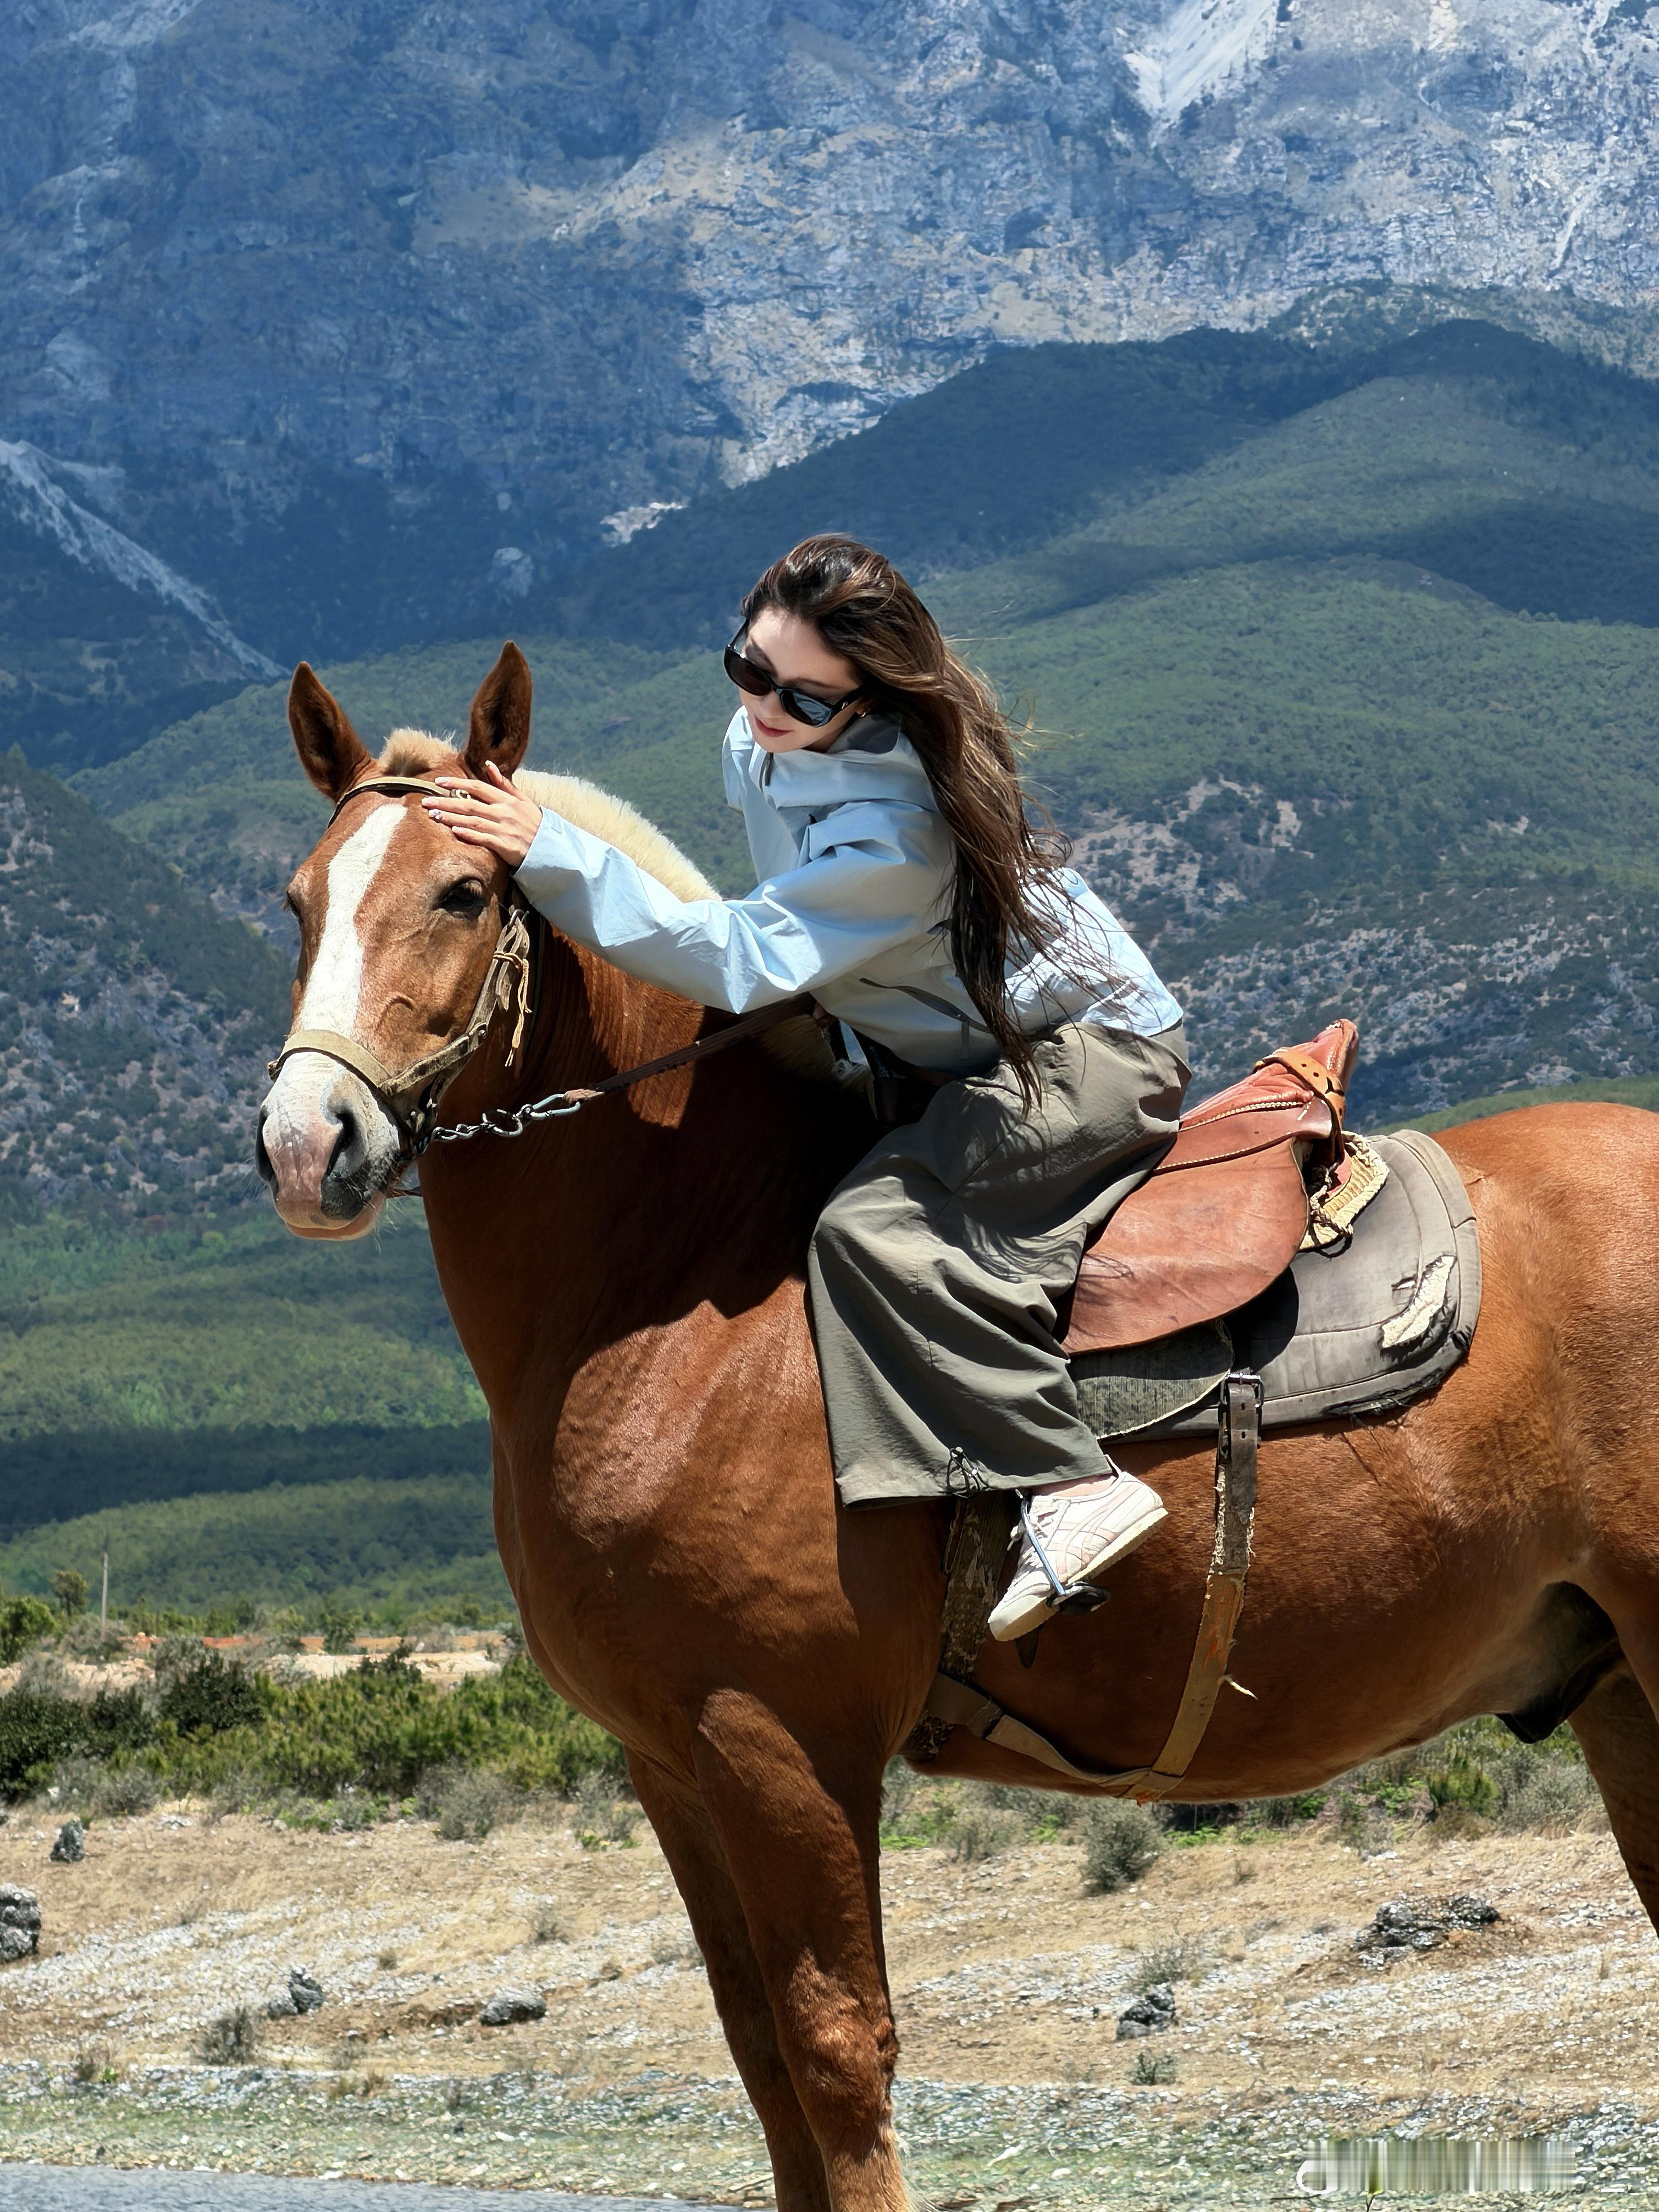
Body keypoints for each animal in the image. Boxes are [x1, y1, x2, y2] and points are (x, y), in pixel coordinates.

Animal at [257, 645, 1659, 2212]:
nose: (309, 1143)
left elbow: (835, 2049)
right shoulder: (671, 1763)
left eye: (463, 890)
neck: (683, 1287)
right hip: (1615, 1688)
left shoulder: (780, 1739)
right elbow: (761, 2061)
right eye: (300, 901)